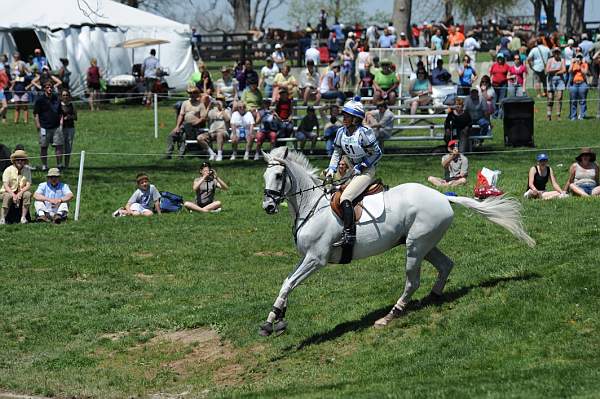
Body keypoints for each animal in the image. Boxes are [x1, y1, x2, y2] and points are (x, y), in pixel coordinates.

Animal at [258, 148, 536, 338]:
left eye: (279, 175)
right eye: (265, 175)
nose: (268, 207)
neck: (311, 206)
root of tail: (444, 197)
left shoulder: (316, 259)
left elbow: (289, 283)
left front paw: (270, 322)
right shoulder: (305, 258)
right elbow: (287, 282)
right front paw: (277, 317)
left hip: (415, 246)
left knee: (412, 282)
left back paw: (391, 315)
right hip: (424, 244)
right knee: (446, 265)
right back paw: (432, 298)